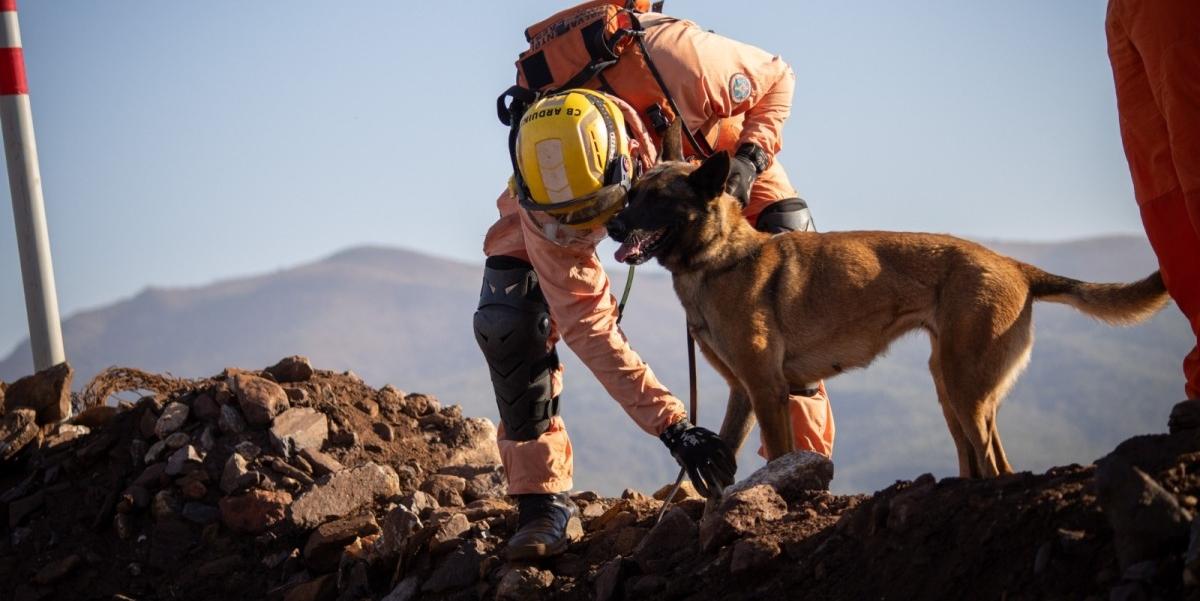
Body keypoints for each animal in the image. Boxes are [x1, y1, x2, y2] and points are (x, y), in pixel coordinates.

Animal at [604, 137, 1166, 475]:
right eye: (631, 194)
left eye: (657, 198)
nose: (612, 225)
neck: (718, 258)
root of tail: (1015, 266)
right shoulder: (743, 392)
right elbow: (716, 466)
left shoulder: (767, 390)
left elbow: (781, 453)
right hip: (950, 387)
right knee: (981, 459)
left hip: (966, 389)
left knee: (995, 464)